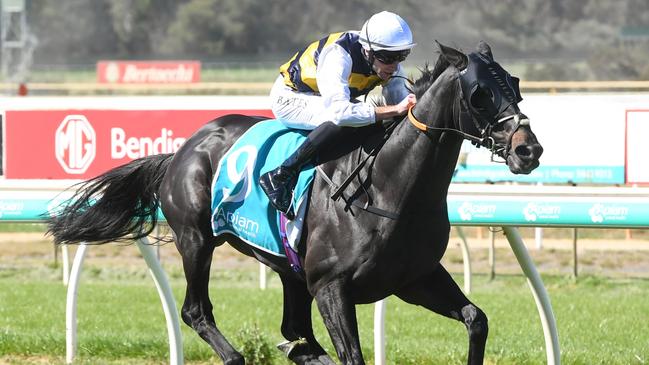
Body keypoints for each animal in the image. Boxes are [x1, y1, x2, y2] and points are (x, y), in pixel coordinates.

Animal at [46, 41, 540, 362]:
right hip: (197, 239)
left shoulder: (414, 278)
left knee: (295, 333)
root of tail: (184, 148)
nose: (528, 150)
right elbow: (352, 357)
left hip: (289, 269)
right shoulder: (332, 288)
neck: (388, 188)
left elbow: (476, 319)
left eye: (515, 84)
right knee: (195, 311)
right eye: (479, 94)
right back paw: (236, 355)